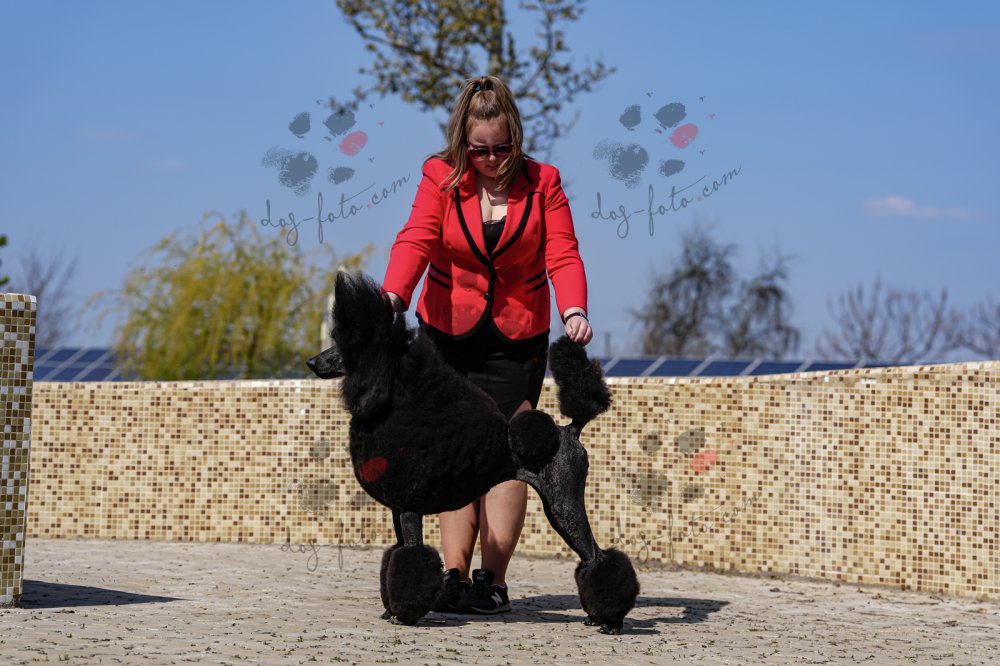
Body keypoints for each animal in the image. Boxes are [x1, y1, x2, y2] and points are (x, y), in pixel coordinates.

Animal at [307, 271, 639, 633]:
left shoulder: (409, 508)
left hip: (563, 501)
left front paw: (403, 615)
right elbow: (394, 555)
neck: (395, 405)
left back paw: (611, 621)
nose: (312, 362)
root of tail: (569, 431)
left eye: (347, 346)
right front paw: (390, 610)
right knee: (591, 557)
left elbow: (410, 558)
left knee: (597, 557)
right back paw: (596, 617)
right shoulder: (398, 508)